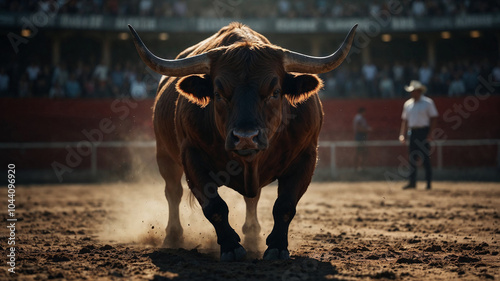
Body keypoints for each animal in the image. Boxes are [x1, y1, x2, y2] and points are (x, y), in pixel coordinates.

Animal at [129, 22, 356, 260]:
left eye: (275, 92)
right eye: (218, 94)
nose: (246, 138)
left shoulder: (306, 156)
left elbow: (284, 205)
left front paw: (277, 247)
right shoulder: (191, 155)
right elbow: (215, 207)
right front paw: (231, 246)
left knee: (252, 198)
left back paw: (253, 235)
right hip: (165, 155)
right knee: (173, 192)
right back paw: (173, 236)